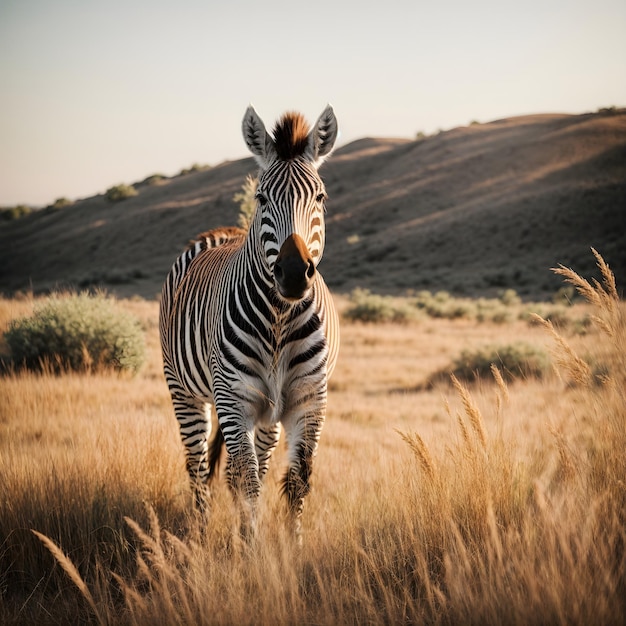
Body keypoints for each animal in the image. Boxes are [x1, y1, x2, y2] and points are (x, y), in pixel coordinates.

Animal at [158, 105, 338, 540]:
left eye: (320, 197)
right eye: (261, 197)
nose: (294, 274)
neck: (279, 318)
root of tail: (224, 231)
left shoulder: (310, 399)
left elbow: (296, 480)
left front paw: (290, 548)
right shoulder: (234, 398)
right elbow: (249, 480)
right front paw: (252, 552)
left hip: (269, 413)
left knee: (246, 467)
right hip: (185, 392)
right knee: (198, 467)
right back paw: (201, 534)